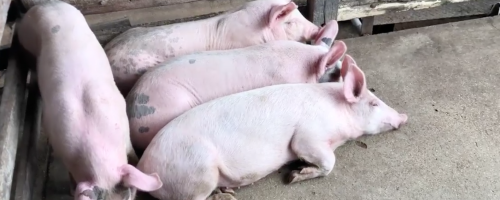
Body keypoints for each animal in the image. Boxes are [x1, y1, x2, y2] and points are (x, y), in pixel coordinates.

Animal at [138, 54, 410, 199]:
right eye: (374, 103)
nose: (404, 117)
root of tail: (143, 165)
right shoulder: (309, 135)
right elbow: (327, 161)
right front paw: (293, 176)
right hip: (197, 169)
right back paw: (226, 195)